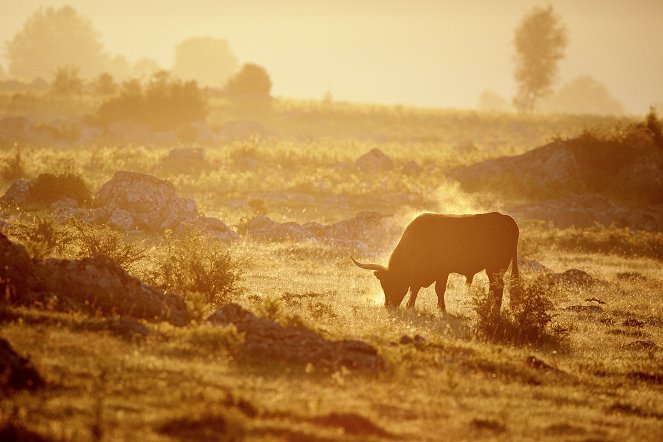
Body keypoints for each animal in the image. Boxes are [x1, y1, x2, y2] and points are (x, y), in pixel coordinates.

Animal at [350, 213, 520, 314]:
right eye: (383, 285)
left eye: (391, 283)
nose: (389, 306)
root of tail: (504, 217)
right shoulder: (435, 273)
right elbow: (429, 290)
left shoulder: (436, 272)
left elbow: (427, 289)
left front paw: (412, 306)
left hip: (495, 268)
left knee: (498, 287)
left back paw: (493, 310)